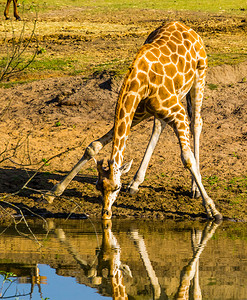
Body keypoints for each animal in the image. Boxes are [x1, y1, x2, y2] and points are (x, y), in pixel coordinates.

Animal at [43, 21, 223, 221]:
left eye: (117, 187)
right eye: (98, 187)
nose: (106, 214)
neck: (140, 80)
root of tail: (188, 28)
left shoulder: (178, 113)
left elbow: (187, 158)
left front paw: (212, 209)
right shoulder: (138, 112)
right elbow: (93, 147)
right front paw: (53, 192)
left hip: (200, 76)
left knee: (196, 123)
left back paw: (195, 189)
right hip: (161, 106)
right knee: (159, 126)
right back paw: (136, 182)